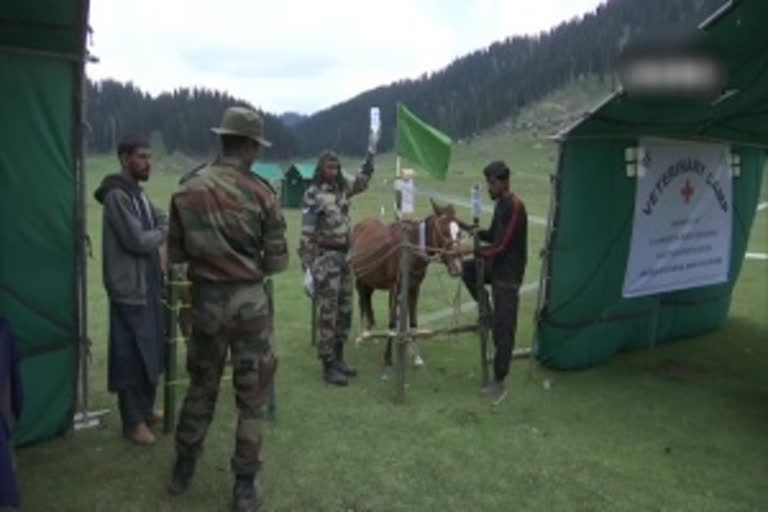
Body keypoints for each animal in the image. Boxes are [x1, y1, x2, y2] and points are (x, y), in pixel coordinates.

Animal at [350, 199, 468, 368]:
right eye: (443, 232)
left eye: (458, 232)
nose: (457, 267)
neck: (410, 252)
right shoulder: (394, 289)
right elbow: (392, 322)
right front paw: (388, 357)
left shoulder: (414, 288)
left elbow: (412, 321)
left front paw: (416, 355)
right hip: (360, 278)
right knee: (362, 302)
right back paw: (362, 335)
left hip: (370, 280)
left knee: (367, 299)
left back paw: (369, 330)